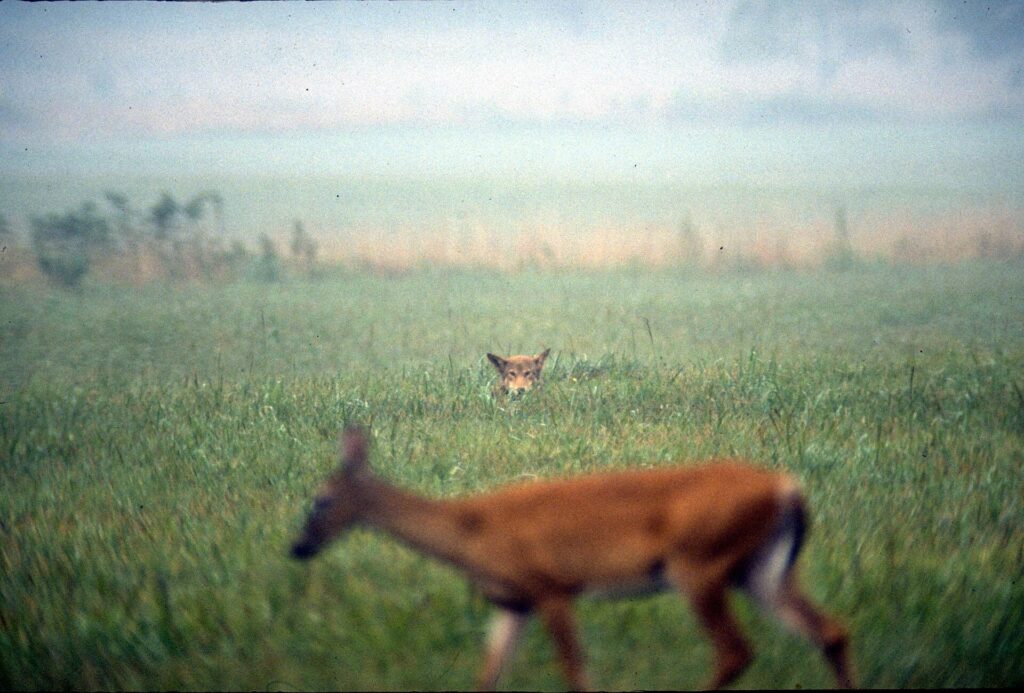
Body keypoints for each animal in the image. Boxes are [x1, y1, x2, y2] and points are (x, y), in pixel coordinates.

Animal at [290, 428, 855, 690]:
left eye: (320, 500)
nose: (297, 547)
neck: (469, 531)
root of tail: (788, 489)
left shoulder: (552, 587)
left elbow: (574, 671)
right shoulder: (512, 602)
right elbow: (487, 676)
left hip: (701, 564)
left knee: (735, 650)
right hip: (761, 570)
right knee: (830, 631)